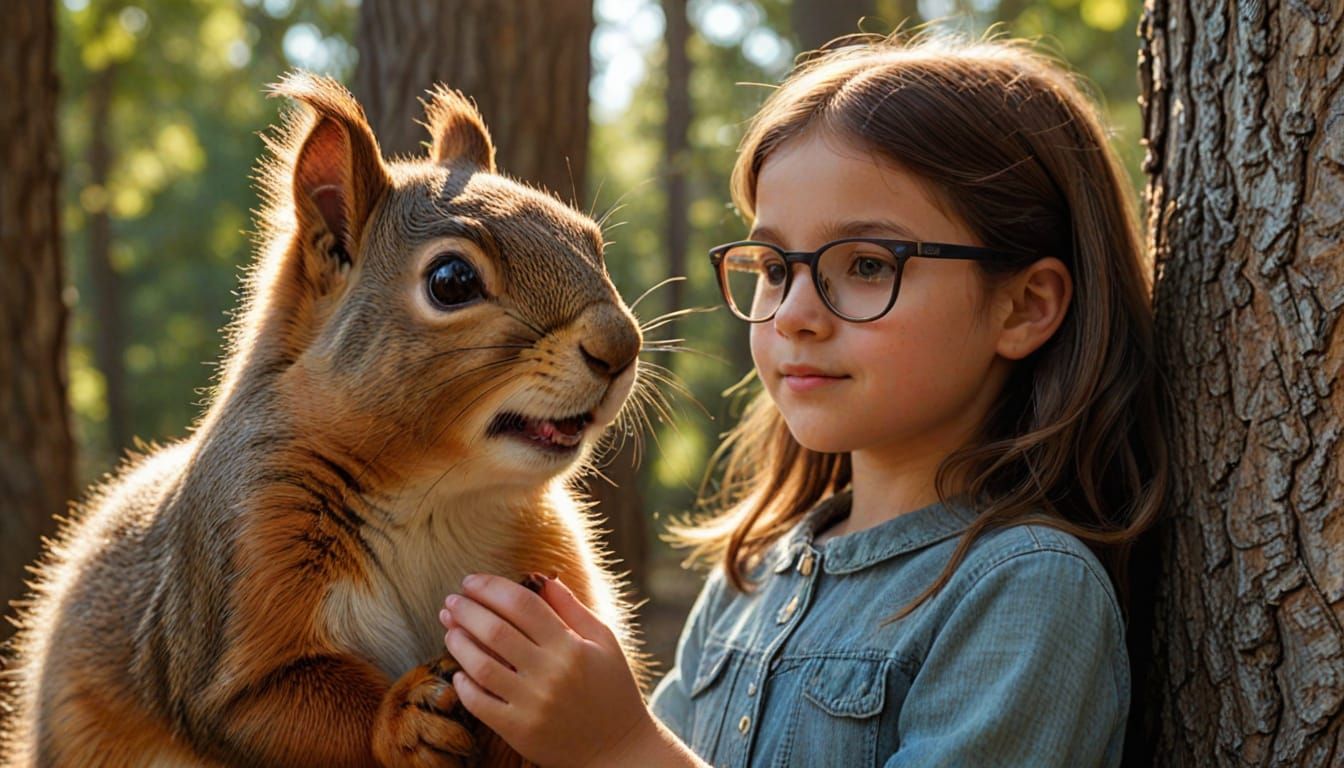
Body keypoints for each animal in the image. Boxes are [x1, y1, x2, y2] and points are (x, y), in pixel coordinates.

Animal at [1, 72, 644, 767]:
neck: (437, 495)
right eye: (451, 279)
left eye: (591, 241)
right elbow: (269, 704)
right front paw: (403, 718)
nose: (622, 346)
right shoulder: (245, 553)